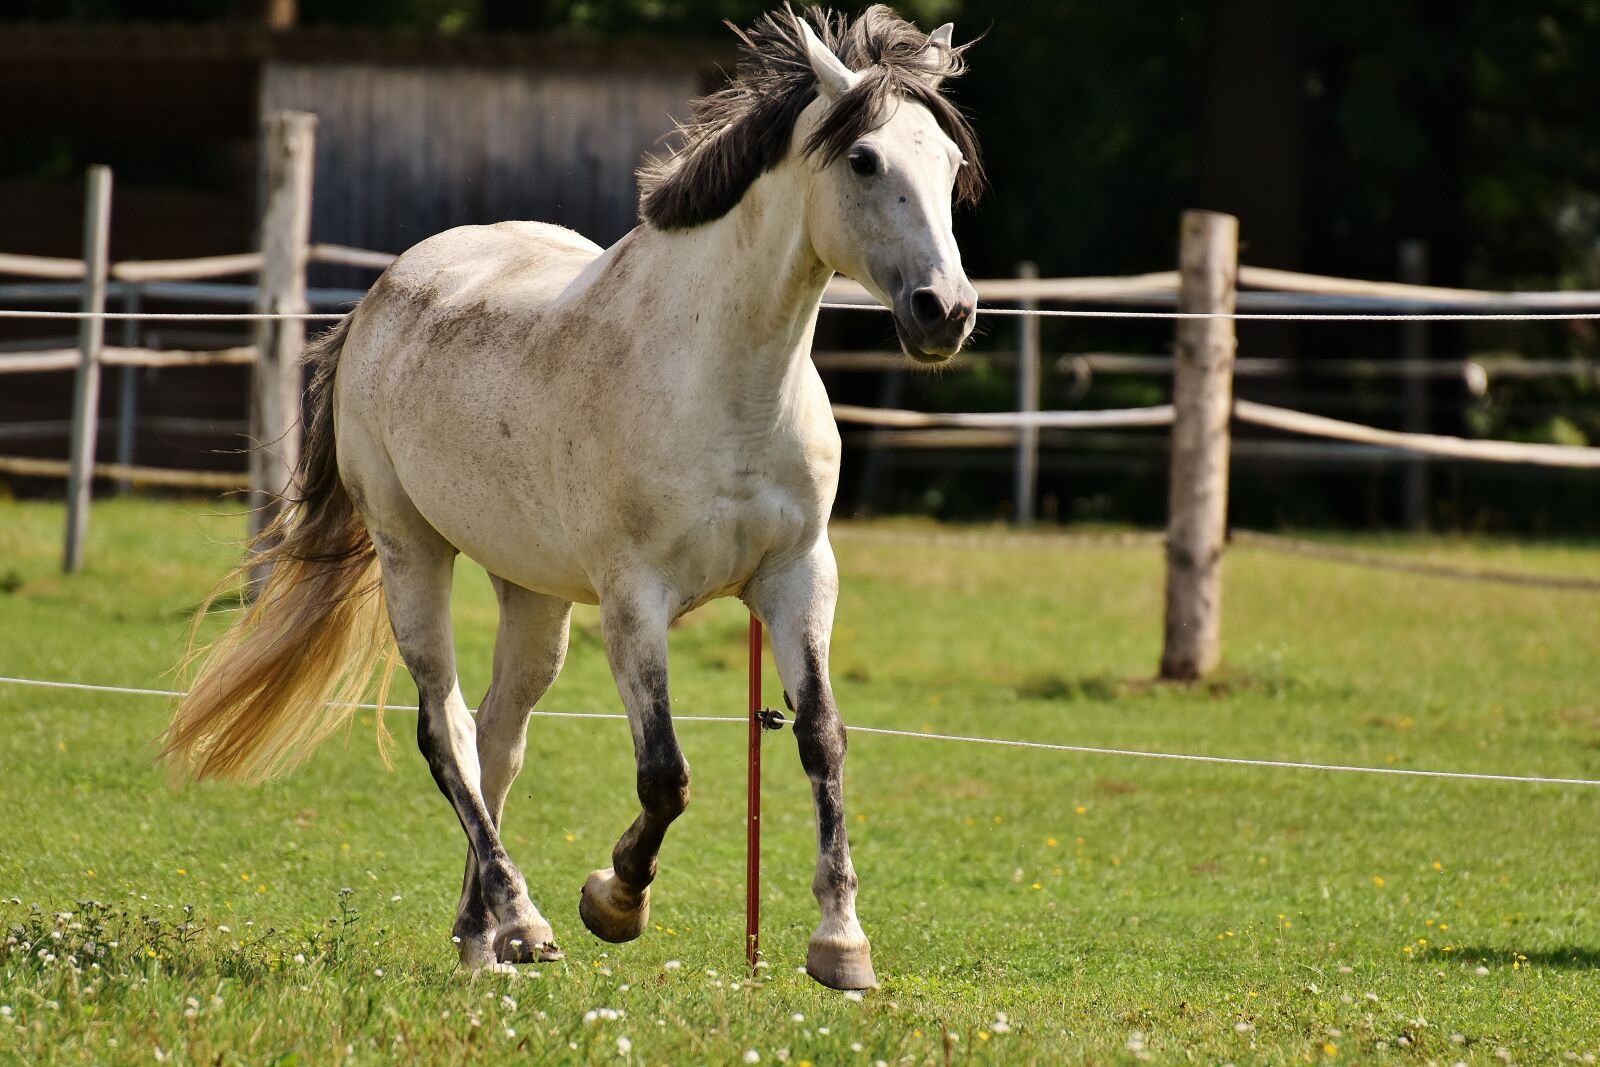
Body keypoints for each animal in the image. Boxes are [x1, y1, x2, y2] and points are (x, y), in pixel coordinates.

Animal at [161, 4, 983, 991]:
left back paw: (482, 936)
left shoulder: (797, 577)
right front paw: (614, 899)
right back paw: (525, 919)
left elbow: (822, 738)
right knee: (446, 731)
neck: (725, 381)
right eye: (864, 159)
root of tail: (378, 298)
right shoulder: (635, 599)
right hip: (411, 550)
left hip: (533, 593)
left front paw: (841, 944)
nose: (946, 311)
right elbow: (664, 773)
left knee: (496, 736)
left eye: (949, 161)